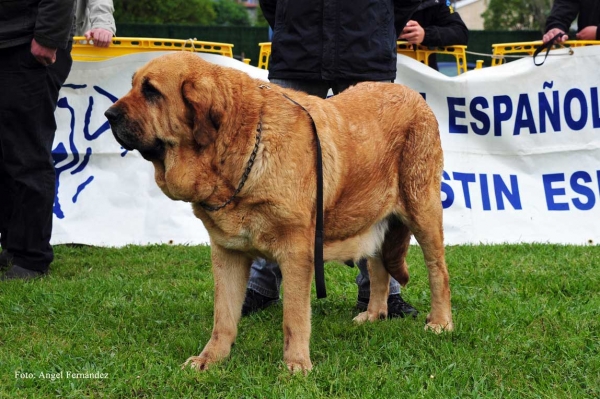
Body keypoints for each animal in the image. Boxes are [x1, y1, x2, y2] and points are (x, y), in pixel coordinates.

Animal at [105, 51, 452, 374]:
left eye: (151, 91)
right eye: (134, 85)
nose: (108, 114)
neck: (240, 147)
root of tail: (414, 96)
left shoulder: (297, 253)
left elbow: (294, 317)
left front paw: (296, 364)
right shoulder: (227, 253)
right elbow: (223, 316)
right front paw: (210, 358)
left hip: (423, 211)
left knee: (438, 271)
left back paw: (440, 322)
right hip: (371, 216)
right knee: (379, 268)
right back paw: (373, 314)